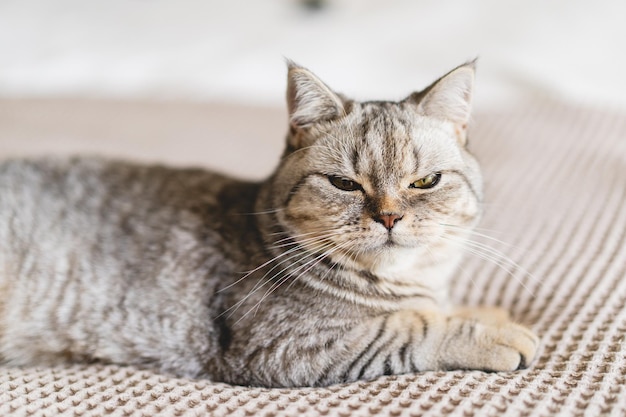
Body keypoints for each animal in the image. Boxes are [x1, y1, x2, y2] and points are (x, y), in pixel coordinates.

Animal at [0, 61, 536, 386]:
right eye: (344, 184)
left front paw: (488, 313)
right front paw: (492, 334)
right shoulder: (285, 347)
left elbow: (435, 310)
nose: (388, 215)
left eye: (425, 181)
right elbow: (412, 327)